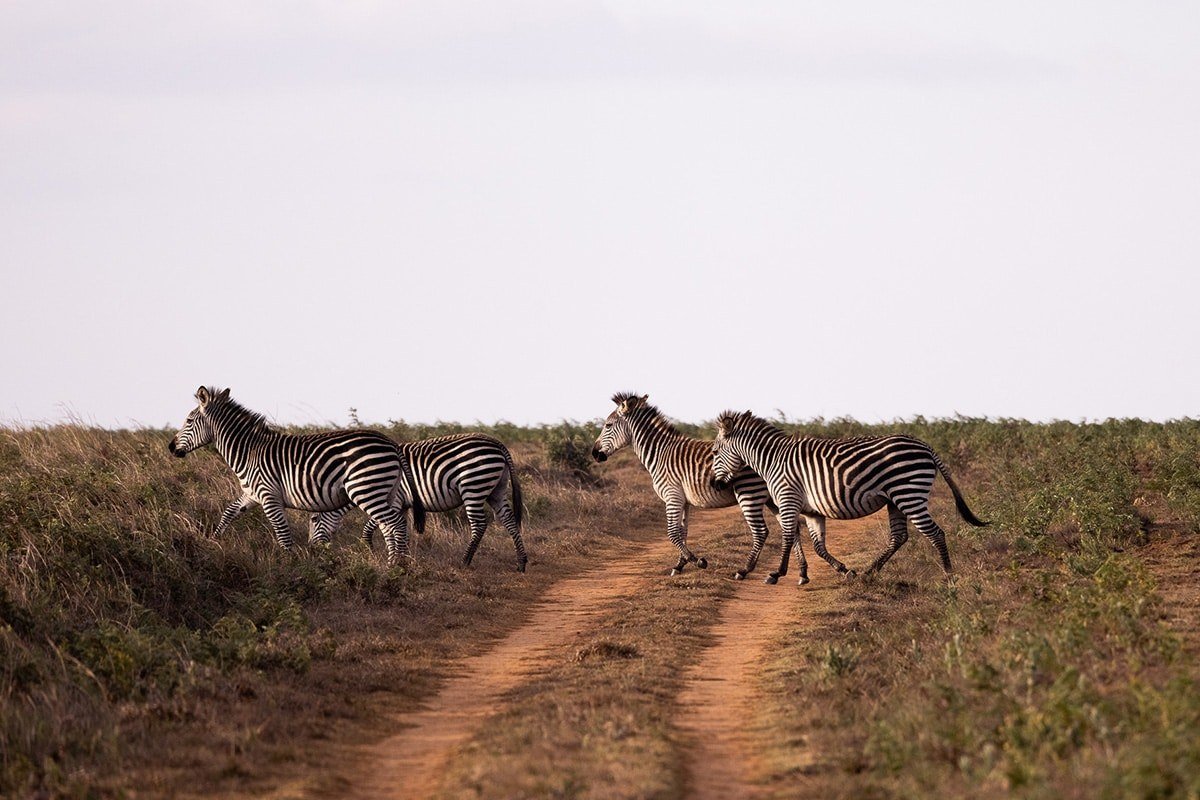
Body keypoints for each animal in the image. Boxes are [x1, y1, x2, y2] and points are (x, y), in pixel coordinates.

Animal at [168, 386, 426, 565]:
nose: (171, 447)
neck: (249, 451)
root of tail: (391, 442)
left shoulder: (268, 496)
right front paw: (213, 541)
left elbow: (282, 533)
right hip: (385, 491)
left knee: (395, 523)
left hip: (365, 489)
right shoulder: (252, 494)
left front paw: (290, 565)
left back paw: (398, 566)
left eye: (189, 421)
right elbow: (229, 513)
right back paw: (394, 564)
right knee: (389, 525)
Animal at [347, 433, 528, 572]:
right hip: (496, 491)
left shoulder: (394, 501)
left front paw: (375, 553)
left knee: (479, 524)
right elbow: (400, 531)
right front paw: (403, 559)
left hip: (473, 486)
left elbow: (373, 528)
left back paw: (465, 561)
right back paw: (521, 562)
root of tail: (497, 443)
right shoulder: (401, 505)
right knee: (509, 520)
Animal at [591, 392, 779, 579]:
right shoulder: (683, 500)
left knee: (761, 531)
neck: (660, 453)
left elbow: (672, 533)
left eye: (608, 425)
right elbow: (682, 532)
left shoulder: (672, 496)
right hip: (773, 497)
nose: (594, 454)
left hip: (749, 492)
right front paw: (680, 564)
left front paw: (698, 561)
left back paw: (744, 570)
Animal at [710, 410, 987, 584]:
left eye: (715, 452)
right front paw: (842, 571)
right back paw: (869, 572)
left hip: (909, 493)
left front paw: (776, 573)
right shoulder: (811, 510)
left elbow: (787, 537)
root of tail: (924, 445)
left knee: (935, 533)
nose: (714, 483)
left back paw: (948, 575)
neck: (771, 460)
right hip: (896, 500)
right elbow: (818, 546)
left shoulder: (788, 498)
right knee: (899, 537)